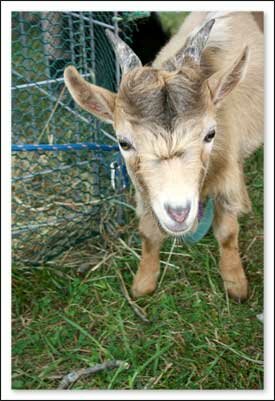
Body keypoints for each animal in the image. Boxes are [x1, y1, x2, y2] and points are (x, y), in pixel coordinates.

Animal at [64, 11, 266, 300]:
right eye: (124, 142)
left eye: (210, 134)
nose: (179, 213)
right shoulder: (144, 189)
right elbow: (148, 232)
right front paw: (143, 284)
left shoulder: (226, 172)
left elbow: (228, 232)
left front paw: (235, 285)